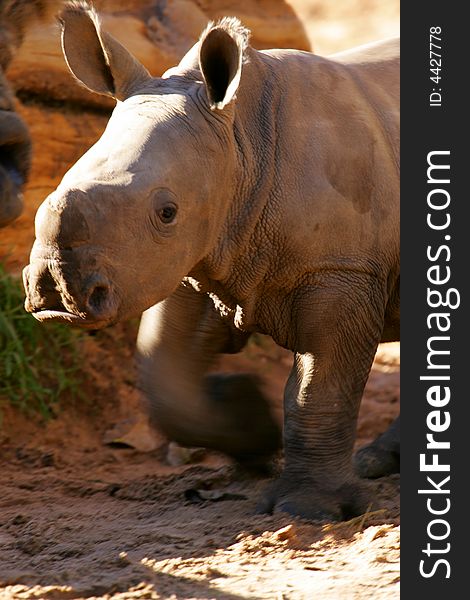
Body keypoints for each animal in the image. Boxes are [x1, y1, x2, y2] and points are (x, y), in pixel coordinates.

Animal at [23, 2, 398, 520]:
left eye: (167, 211)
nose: (57, 291)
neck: (243, 143)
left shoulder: (342, 270)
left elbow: (319, 389)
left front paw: (307, 511)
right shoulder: (199, 258)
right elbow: (164, 378)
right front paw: (251, 419)